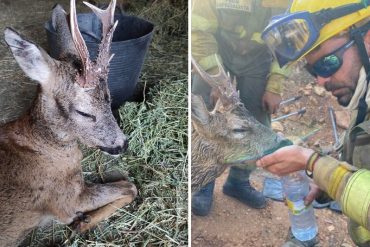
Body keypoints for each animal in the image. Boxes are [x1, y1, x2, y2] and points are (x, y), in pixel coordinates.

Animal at [0, 0, 137, 246]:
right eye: (84, 112)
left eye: (109, 98)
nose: (122, 144)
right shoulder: (66, 199)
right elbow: (130, 186)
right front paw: (82, 222)